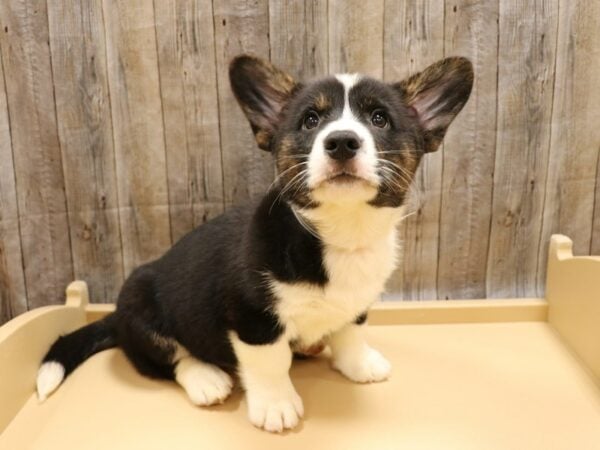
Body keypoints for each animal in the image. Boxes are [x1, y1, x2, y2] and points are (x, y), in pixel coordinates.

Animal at [36, 55, 474, 432]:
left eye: (380, 118)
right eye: (310, 120)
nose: (342, 142)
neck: (339, 231)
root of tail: (114, 317)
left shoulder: (357, 304)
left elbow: (350, 333)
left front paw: (360, 365)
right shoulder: (253, 317)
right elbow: (270, 363)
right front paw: (276, 407)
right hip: (140, 300)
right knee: (167, 358)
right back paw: (206, 379)